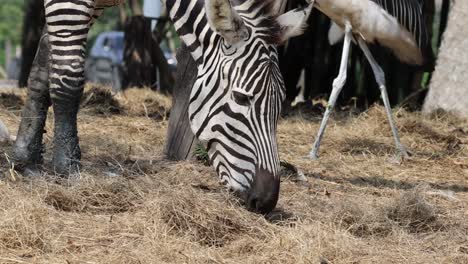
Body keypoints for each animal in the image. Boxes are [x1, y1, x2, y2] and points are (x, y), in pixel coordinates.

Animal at [11, 0, 310, 213]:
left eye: (280, 106)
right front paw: (67, 169)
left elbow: (41, 70)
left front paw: (24, 158)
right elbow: (66, 79)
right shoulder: (69, 4)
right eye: (241, 98)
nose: (267, 201)